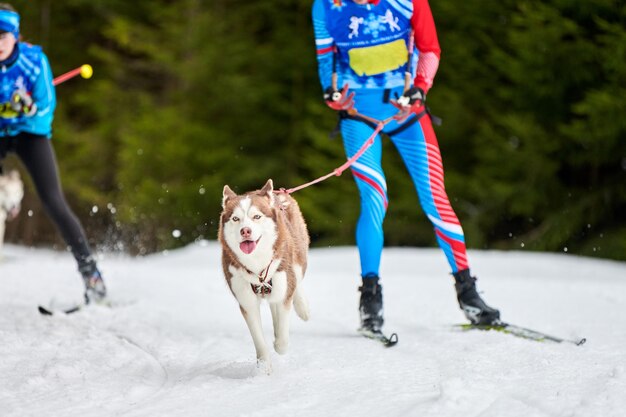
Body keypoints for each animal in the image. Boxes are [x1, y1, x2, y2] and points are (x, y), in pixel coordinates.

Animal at [217, 179, 310, 370]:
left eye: (256, 217)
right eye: (236, 218)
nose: (245, 231)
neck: (257, 267)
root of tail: (278, 192)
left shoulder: (283, 283)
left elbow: (283, 338)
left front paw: (279, 344)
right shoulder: (246, 301)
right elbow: (259, 341)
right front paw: (263, 368)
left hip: (298, 257)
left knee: (296, 281)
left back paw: (302, 308)